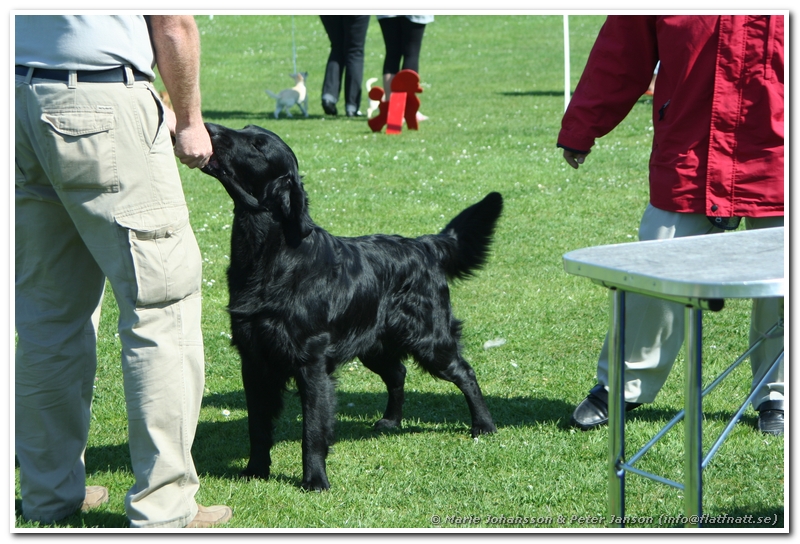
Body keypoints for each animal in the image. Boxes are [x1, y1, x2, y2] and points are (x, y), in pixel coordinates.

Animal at [201, 123, 501, 491]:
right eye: (245, 130)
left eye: (258, 144)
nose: (210, 127)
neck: (269, 256)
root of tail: (424, 245)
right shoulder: (254, 361)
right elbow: (257, 425)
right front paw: (255, 471)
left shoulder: (311, 363)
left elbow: (312, 431)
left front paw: (315, 480)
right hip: (375, 344)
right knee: (398, 373)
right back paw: (391, 421)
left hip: (430, 340)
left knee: (464, 372)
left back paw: (483, 425)